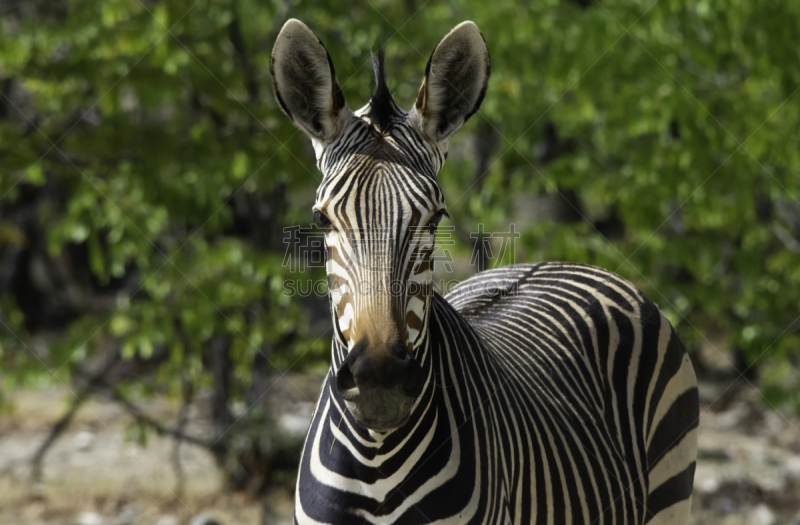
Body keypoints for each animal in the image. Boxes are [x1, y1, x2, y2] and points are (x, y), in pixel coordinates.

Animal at [272, 17, 696, 524]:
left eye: (434, 218)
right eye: (322, 219)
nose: (380, 382)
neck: (377, 456)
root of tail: (559, 261)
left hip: (672, 491)